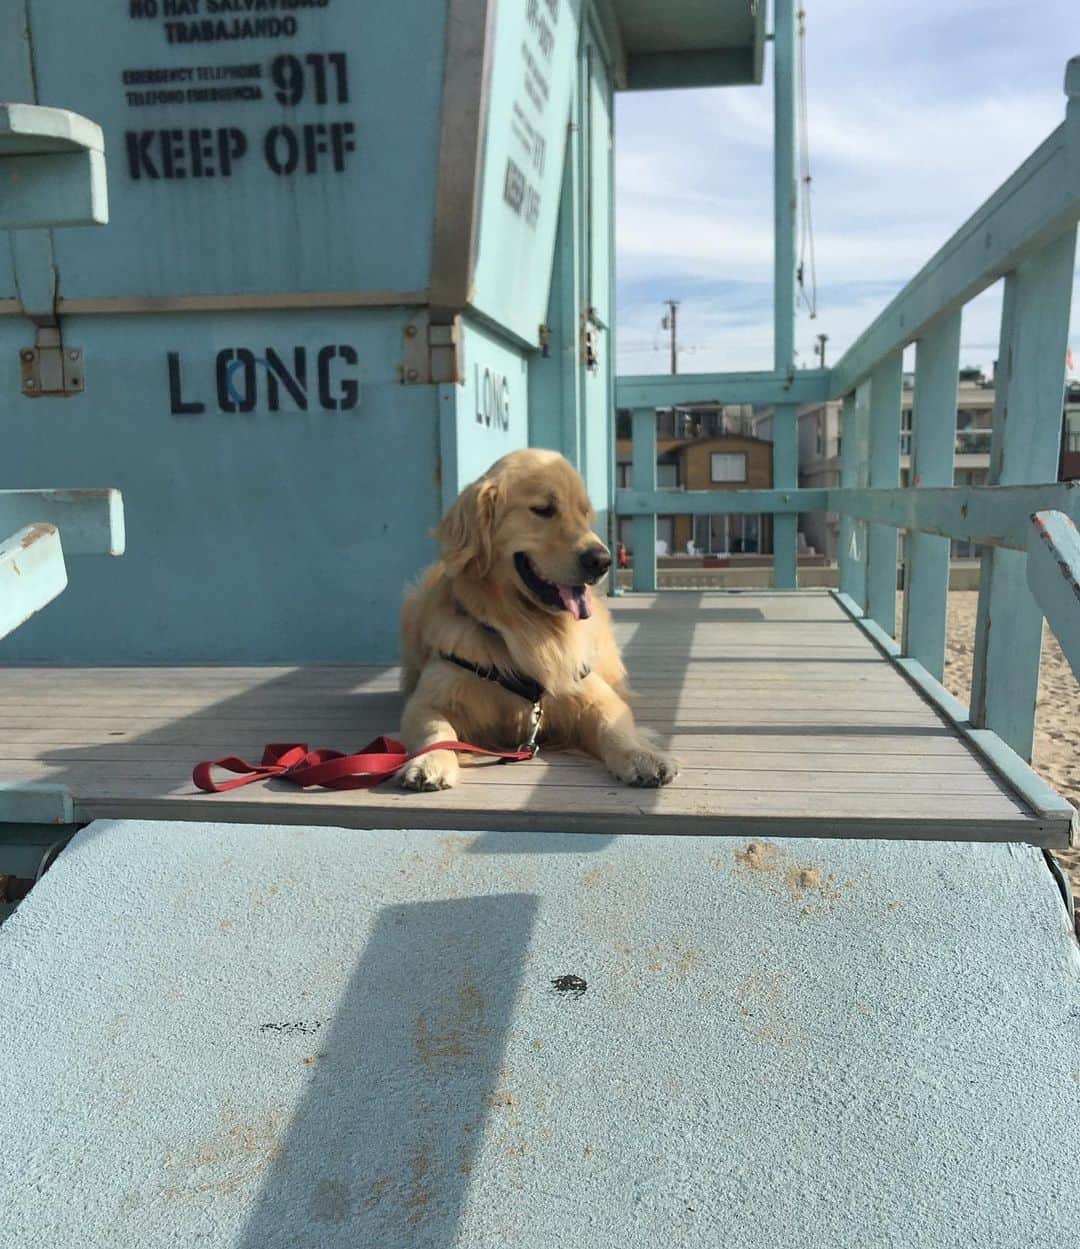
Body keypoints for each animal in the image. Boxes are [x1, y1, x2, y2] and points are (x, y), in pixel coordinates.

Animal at [399, 452, 679, 789]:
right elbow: (436, 730)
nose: (602, 560)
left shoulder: (589, 691)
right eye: (543, 510)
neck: (530, 629)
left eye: (584, 513)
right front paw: (429, 762)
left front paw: (643, 756)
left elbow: (615, 725)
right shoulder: (429, 698)